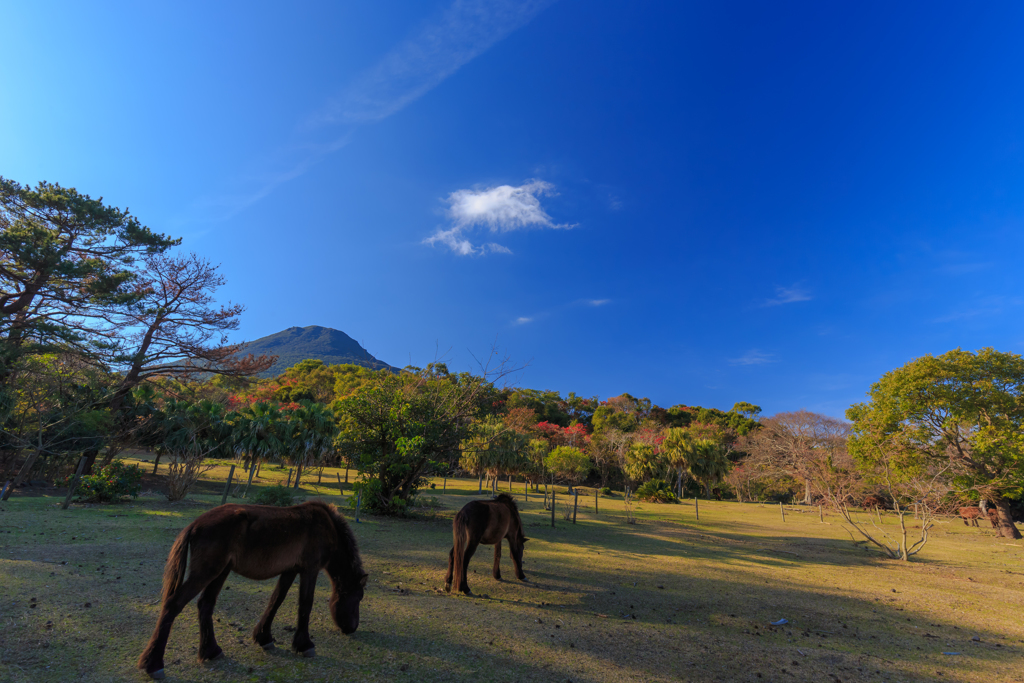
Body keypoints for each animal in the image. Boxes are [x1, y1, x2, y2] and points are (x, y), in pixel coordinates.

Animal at [138, 499, 366, 679]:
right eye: (358, 597)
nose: (352, 628)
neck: (325, 525)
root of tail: (195, 524)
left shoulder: (290, 570)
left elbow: (276, 600)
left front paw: (264, 637)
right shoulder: (309, 570)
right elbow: (305, 605)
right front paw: (304, 645)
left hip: (220, 571)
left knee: (205, 604)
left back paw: (211, 651)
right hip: (207, 572)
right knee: (173, 604)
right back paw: (153, 664)